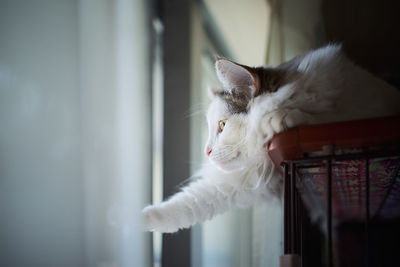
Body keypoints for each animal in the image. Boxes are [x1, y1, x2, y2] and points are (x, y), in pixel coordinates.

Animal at [142, 43, 400, 232]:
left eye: (223, 125)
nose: (206, 151)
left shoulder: (360, 110)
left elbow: (325, 117)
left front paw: (278, 117)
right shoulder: (244, 181)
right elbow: (187, 204)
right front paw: (140, 220)